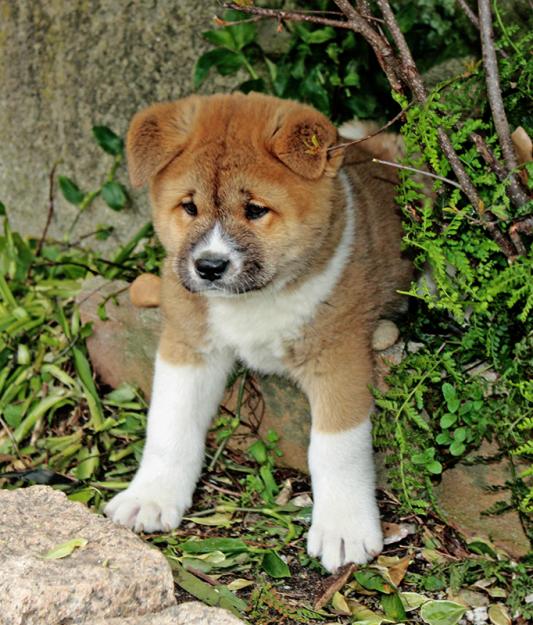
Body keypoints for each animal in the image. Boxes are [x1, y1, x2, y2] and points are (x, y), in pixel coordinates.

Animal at [104, 91, 412, 572]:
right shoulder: (189, 345)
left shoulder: (338, 357)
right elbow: (169, 423)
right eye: (189, 207)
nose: (209, 267)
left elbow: (336, 447)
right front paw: (151, 496)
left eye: (255, 210)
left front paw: (343, 528)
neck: (254, 299)